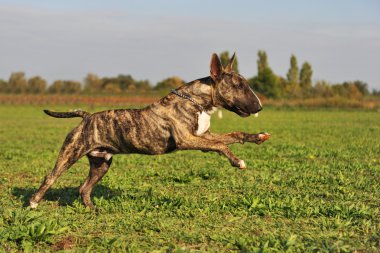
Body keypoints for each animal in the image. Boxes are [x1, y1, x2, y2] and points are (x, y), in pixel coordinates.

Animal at [29, 52, 270, 209]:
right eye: (238, 85)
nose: (260, 107)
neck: (197, 102)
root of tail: (87, 117)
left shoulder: (203, 137)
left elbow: (232, 136)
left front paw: (258, 137)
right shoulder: (186, 140)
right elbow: (221, 144)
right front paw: (237, 161)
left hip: (101, 163)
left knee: (84, 188)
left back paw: (92, 209)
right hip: (71, 153)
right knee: (50, 177)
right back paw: (33, 203)